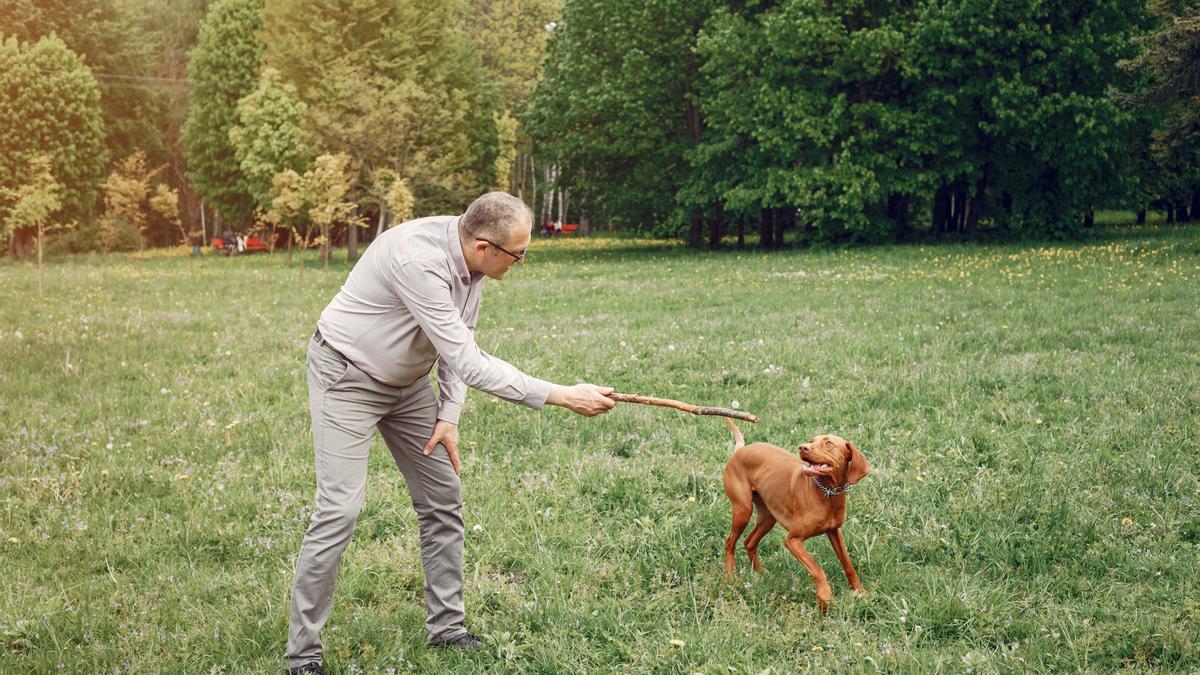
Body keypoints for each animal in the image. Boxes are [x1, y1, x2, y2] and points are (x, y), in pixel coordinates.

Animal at [715, 415, 868, 610]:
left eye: (828, 443)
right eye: (811, 440)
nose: (803, 447)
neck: (827, 494)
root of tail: (740, 450)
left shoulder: (834, 531)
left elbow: (847, 563)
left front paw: (859, 591)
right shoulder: (793, 541)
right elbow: (817, 569)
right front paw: (824, 596)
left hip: (768, 517)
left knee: (749, 543)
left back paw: (761, 574)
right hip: (743, 510)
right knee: (730, 543)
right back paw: (730, 577)